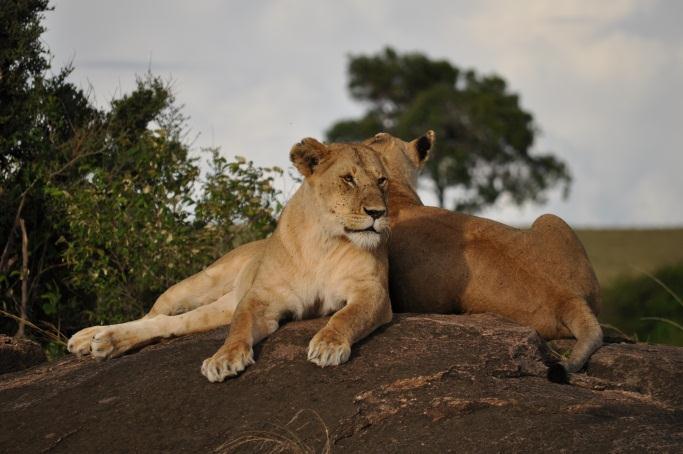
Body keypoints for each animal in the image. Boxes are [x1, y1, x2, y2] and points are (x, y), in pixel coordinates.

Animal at [69, 137, 392, 380]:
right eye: (348, 179)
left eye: (382, 181)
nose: (378, 213)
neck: (324, 241)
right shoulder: (260, 297)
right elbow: (239, 328)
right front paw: (223, 359)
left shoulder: (372, 290)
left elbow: (346, 315)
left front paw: (328, 343)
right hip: (197, 284)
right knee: (154, 313)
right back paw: (91, 338)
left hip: (218, 309)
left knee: (167, 324)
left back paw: (107, 343)